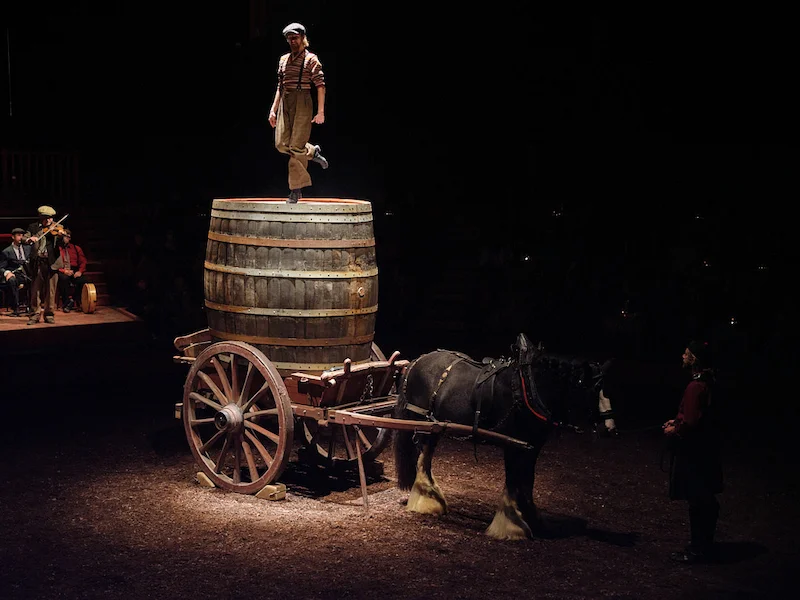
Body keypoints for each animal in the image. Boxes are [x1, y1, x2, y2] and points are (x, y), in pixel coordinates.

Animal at [393, 332, 565, 541]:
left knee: (424, 459)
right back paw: (426, 501)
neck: (527, 386)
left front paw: (533, 520)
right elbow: (514, 480)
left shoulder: (532, 446)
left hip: (434, 426)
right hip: (423, 425)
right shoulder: (513, 444)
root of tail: (417, 360)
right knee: (422, 460)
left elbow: (526, 482)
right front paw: (510, 526)